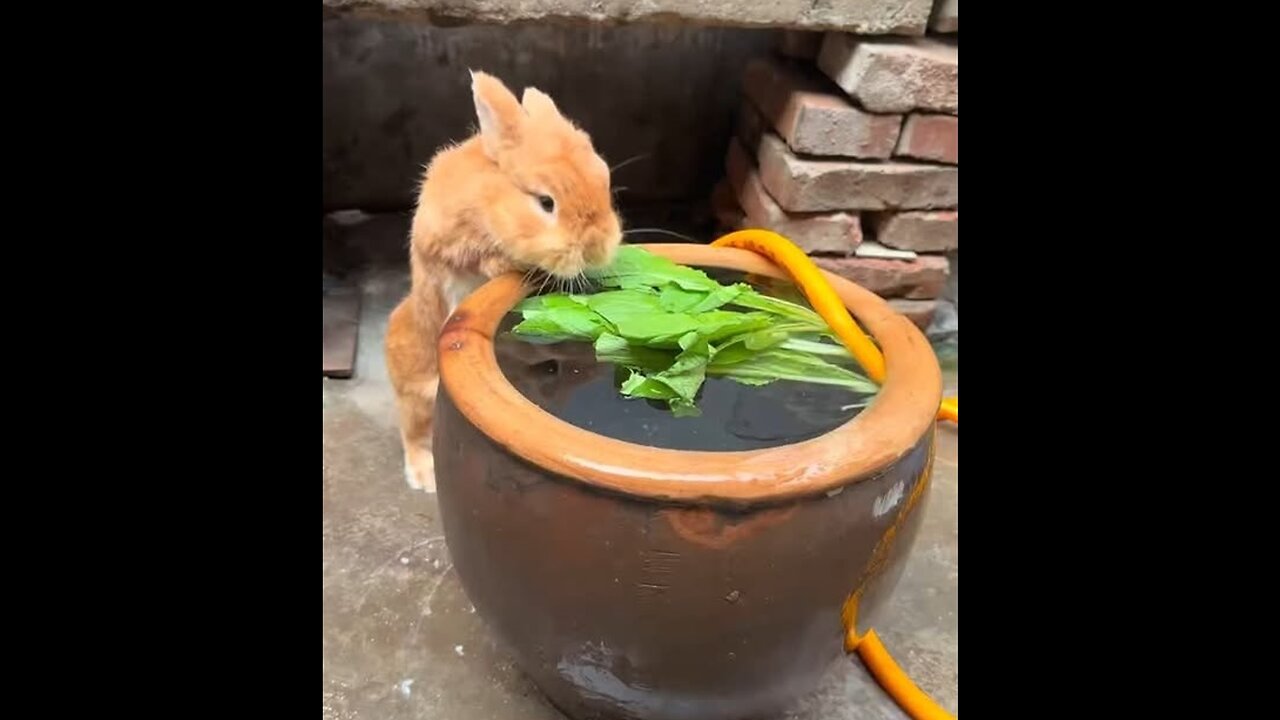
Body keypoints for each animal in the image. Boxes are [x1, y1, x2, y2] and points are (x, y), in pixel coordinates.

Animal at [381, 70, 622, 489]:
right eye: (545, 202)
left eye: (603, 178)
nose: (597, 248)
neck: (490, 200)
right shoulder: (443, 247)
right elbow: (475, 260)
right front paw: (505, 266)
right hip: (415, 391)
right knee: (414, 431)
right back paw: (423, 476)